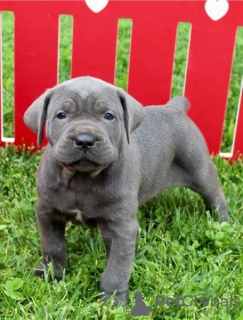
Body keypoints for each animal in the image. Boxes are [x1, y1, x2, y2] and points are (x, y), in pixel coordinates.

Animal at [23, 77, 229, 304]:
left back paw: (223, 224)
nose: (84, 139)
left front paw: (112, 300)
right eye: (61, 115)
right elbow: (52, 246)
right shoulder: (47, 212)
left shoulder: (121, 228)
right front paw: (51, 274)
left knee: (215, 196)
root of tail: (174, 107)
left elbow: (117, 267)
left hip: (199, 167)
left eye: (108, 116)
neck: (81, 178)